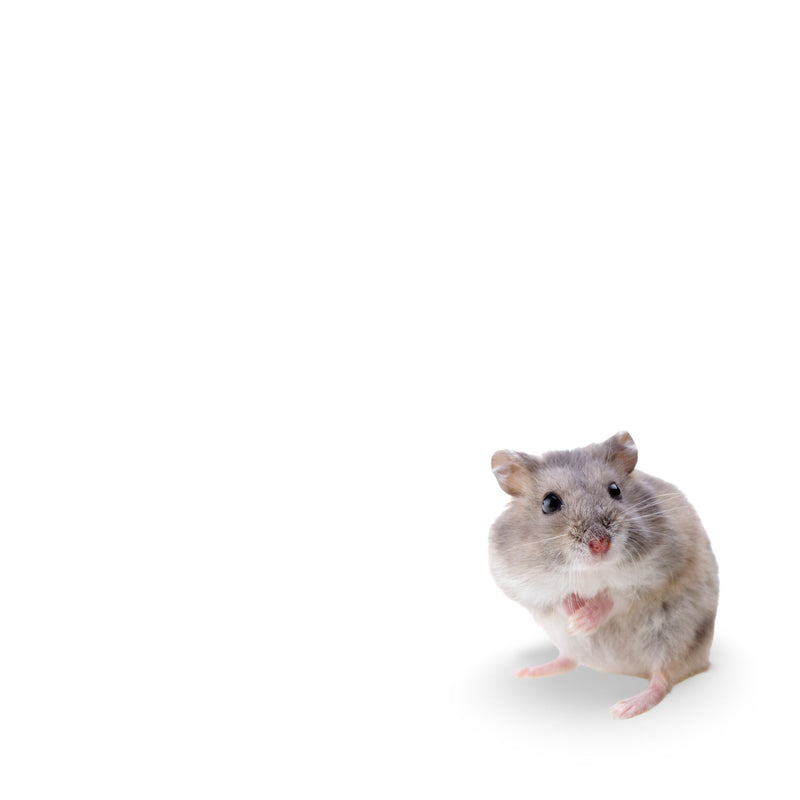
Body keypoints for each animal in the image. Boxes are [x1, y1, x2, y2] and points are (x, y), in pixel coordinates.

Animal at [489, 432, 718, 719]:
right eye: (549, 503)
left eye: (615, 489)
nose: (600, 544)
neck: (592, 570)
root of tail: (622, 669)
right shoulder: (520, 581)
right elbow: (558, 597)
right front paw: (573, 617)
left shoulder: (658, 572)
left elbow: (615, 595)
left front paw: (582, 621)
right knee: (568, 660)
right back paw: (527, 672)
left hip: (675, 637)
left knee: (662, 678)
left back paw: (624, 709)